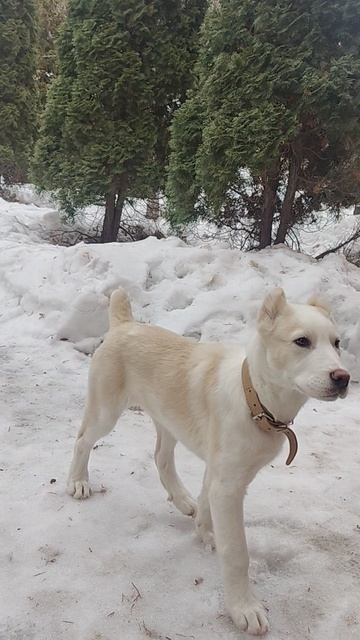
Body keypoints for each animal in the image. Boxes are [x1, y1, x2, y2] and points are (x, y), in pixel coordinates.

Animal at [67, 286, 348, 636]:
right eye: (302, 342)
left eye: (337, 343)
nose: (343, 377)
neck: (255, 399)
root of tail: (125, 324)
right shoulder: (228, 485)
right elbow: (237, 552)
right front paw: (244, 608)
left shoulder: (220, 472)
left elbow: (205, 501)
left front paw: (205, 531)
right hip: (105, 411)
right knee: (82, 440)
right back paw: (78, 482)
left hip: (168, 420)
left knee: (161, 457)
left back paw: (182, 499)